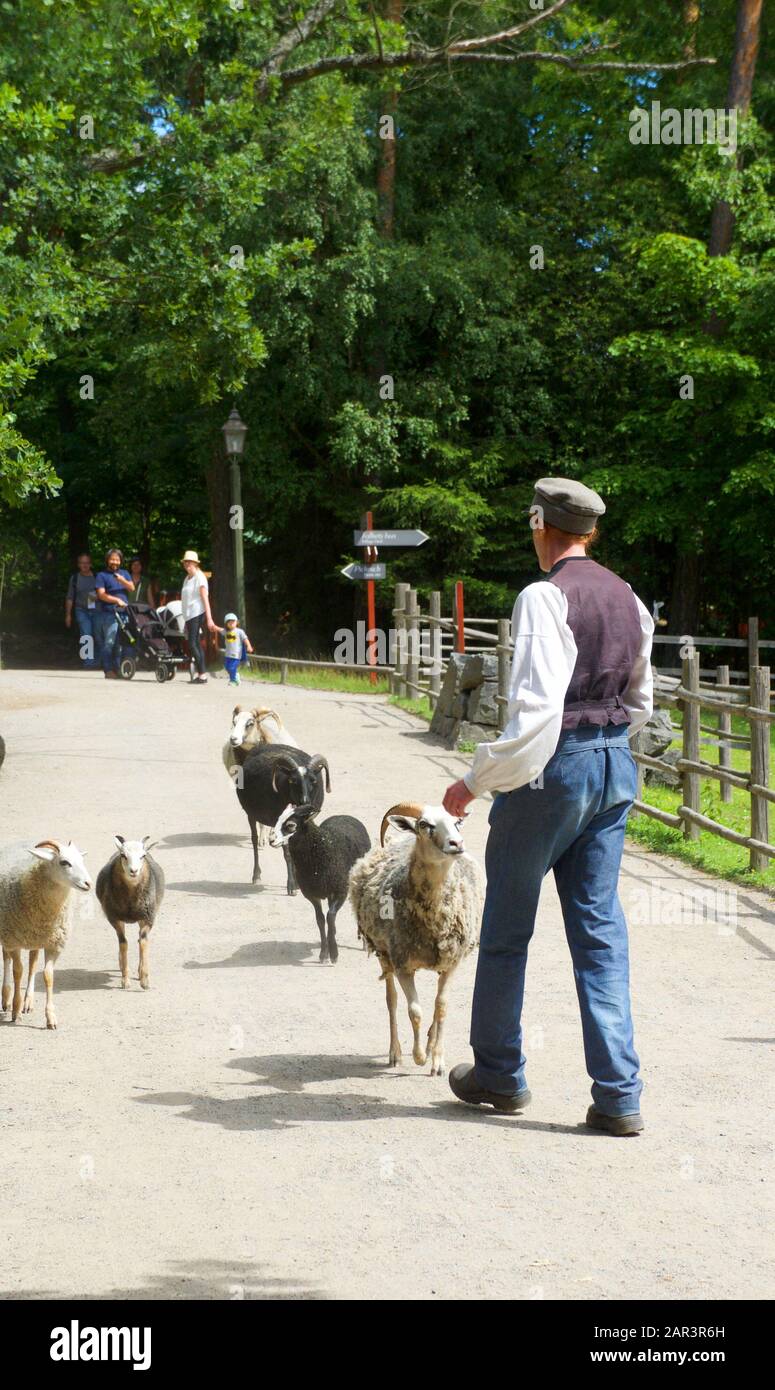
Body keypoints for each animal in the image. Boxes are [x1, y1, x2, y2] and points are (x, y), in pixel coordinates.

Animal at [0, 839, 91, 1028]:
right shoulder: (13, 940)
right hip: (7, 933)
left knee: (33, 962)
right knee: (6, 957)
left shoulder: (54, 944)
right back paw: (6, 998)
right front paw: (15, 1010)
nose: (88, 883)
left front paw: (50, 1017)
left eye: (81, 860)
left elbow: (48, 976)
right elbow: (17, 971)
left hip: (35, 938)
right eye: (64, 862)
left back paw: (28, 1001)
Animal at [236, 750, 329, 889]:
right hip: (250, 813)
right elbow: (288, 854)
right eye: (292, 780)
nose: (305, 802)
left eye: (313, 780)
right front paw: (292, 885)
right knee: (254, 839)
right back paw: (256, 876)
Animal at [350, 806, 483, 1073]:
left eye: (457, 822)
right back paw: (396, 1053)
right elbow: (415, 1011)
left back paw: (430, 1042)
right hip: (384, 954)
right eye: (424, 824)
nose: (457, 843)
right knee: (391, 1000)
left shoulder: (451, 963)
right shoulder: (403, 965)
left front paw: (437, 1059)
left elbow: (441, 1007)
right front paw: (419, 1056)